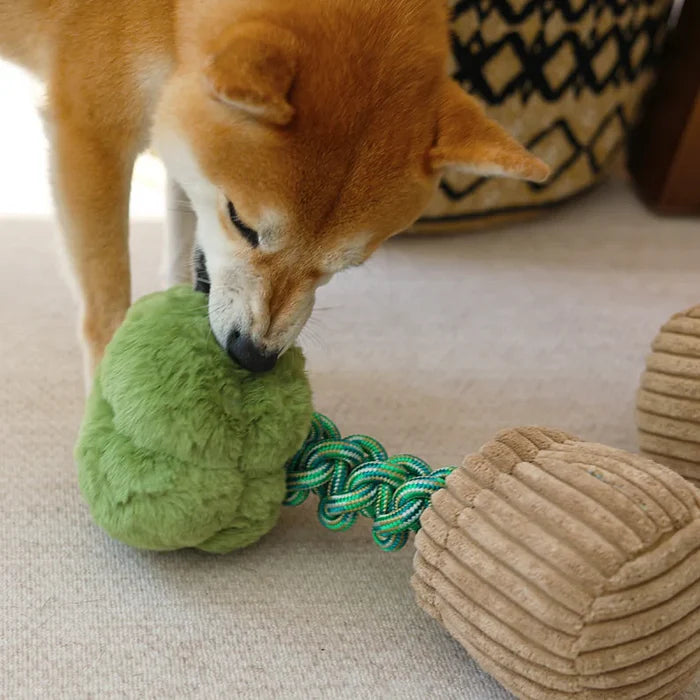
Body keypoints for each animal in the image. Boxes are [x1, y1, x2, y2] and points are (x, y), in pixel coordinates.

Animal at [0, 0, 548, 378]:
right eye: (242, 223)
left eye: (346, 266)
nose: (253, 355)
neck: (170, 14)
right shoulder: (91, 136)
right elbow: (106, 303)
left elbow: (181, 244)